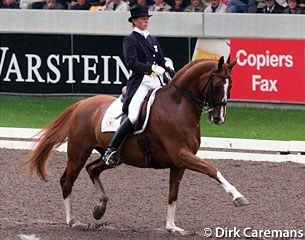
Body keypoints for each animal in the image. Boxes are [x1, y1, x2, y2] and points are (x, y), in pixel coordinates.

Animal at [26, 56, 248, 236]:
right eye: (217, 85)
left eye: (230, 85)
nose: (218, 118)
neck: (178, 105)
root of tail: (81, 104)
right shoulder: (181, 155)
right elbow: (212, 169)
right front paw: (238, 196)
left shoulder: (179, 163)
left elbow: (173, 193)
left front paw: (172, 227)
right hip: (78, 151)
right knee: (67, 180)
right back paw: (72, 221)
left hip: (115, 157)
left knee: (93, 169)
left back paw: (99, 209)